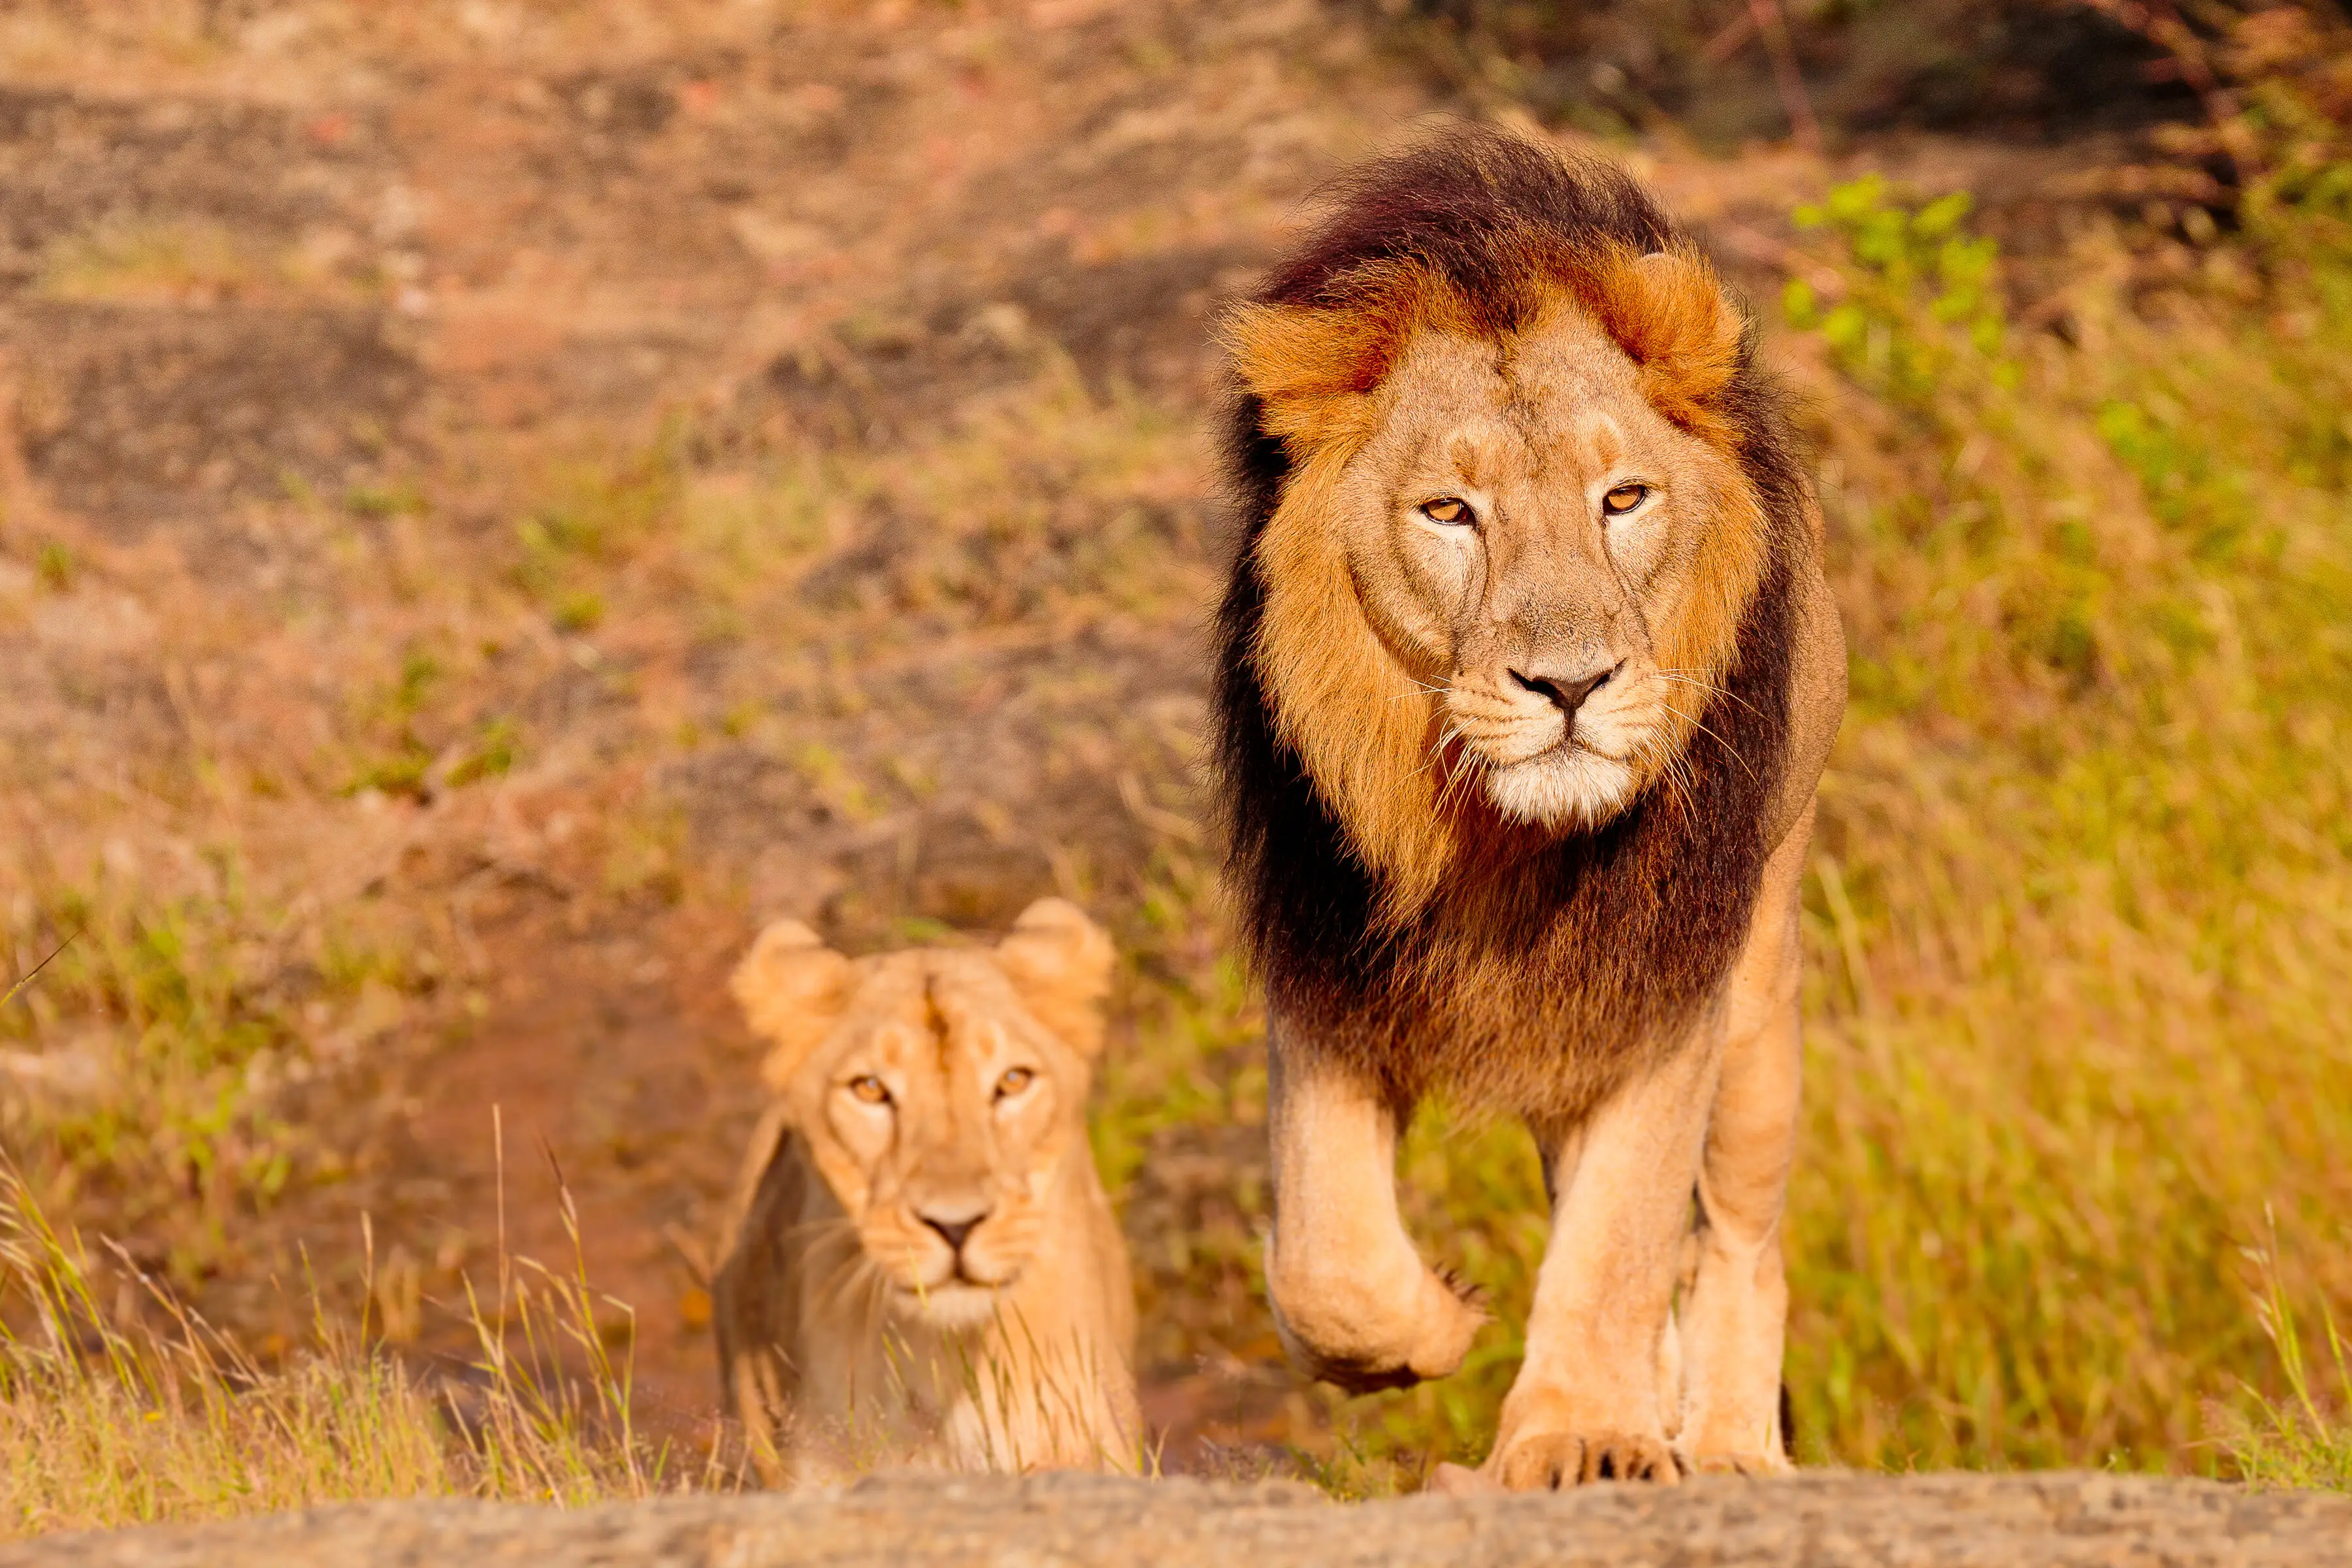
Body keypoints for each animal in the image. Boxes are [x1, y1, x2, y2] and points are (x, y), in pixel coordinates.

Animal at [1210, 125, 1845, 1488]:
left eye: (1625, 499)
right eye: (1451, 512)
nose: (1571, 683)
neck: (1500, 838)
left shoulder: (1668, 976)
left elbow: (1626, 1230)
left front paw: (1583, 1436)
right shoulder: (1324, 954)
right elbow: (1329, 1259)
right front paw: (1434, 1326)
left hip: (1764, 978)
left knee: (1737, 1238)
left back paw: (1726, 1443)